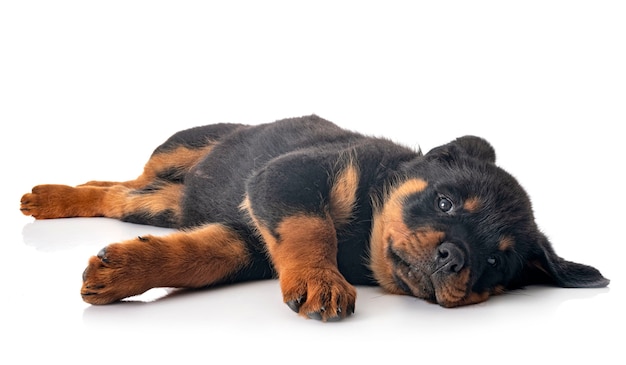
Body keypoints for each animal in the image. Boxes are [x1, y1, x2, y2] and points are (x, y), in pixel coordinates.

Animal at [20, 115, 608, 320]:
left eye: (493, 263)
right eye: (444, 203)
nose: (454, 257)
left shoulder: (246, 240)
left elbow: (198, 256)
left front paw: (120, 273)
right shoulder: (288, 177)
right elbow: (311, 227)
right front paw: (321, 280)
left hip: (163, 205)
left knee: (119, 195)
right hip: (177, 151)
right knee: (119, 186)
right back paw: (46, 198)